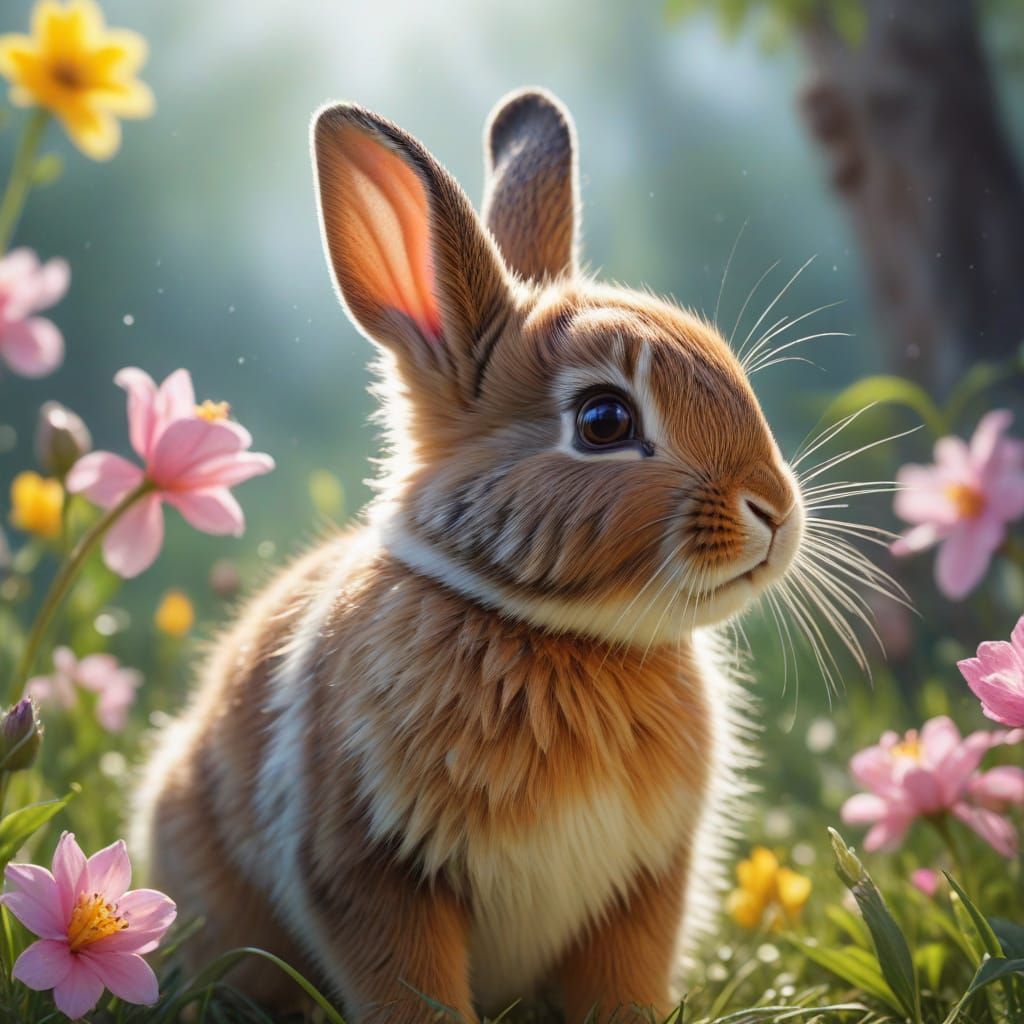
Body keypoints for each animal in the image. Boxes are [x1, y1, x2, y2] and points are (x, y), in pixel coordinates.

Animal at [132, 87, 807, 1022]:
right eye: (604, 421)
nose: (775, 512)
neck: (561, 636)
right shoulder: (370, 869)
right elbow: (412, 991)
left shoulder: (641, 887)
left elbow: (622, 985)